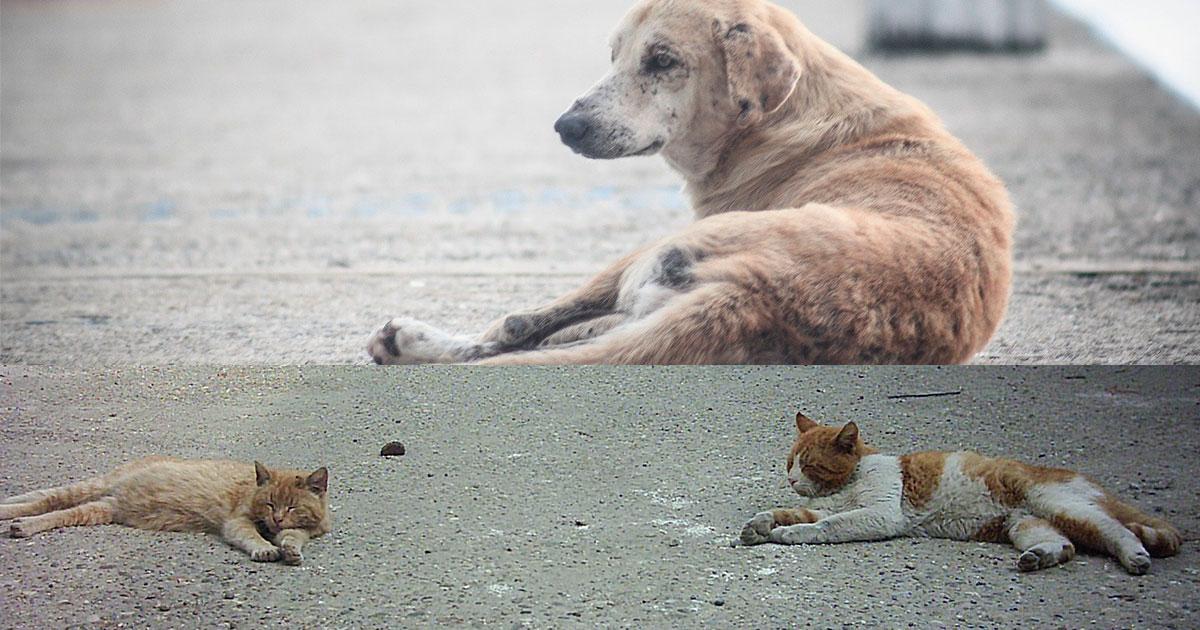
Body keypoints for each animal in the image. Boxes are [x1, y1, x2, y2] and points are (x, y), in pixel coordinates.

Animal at [0, 451, 331, 564]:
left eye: (292, 507)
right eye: (270, 503)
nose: (277, 518)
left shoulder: (305, 530)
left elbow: (294, 537)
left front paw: (290, 550)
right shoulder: (237, 522)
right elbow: (252, 536)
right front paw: (264, 547)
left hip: (99, 509)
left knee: (57, 510)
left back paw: (21, 525)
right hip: (92, 488)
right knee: (46, 499)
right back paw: (12, 516)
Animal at [364, 0, 1012, 362]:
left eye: (663, 61)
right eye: (614, 56)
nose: (565, 126)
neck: (787, 114)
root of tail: (754, 295)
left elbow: (519, 325)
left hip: (646, 254)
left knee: (513, 331)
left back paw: (410, 343)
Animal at [739, 412, 1180, 573]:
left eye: (809, 464)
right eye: (789, 463)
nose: (792, 480)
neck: (850, 480)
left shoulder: (878, 515)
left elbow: (824, 526)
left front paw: (789, 533)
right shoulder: (825, 506)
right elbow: (795, 513)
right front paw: (762, 524)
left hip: (1062, 505)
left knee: (1116, 530)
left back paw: (1135, 556)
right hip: (1025, 524)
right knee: (1066, 545)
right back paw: (1038, 558)